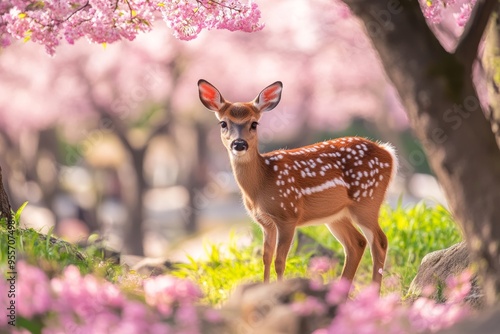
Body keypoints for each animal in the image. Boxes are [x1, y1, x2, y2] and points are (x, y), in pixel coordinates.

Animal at [197, 79, 396, 288]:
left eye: (254, 123)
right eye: (223, 123)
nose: (239, 144)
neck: (261, 183)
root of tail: (388, 152)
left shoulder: (288, 215)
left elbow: (279, 260)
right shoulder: (265, 222)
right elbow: (265, 258)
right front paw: (265, 287)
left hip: (367, 201)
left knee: (380, 241)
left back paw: (373, 290)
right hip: (337, 215)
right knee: (357, 243)